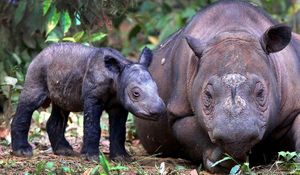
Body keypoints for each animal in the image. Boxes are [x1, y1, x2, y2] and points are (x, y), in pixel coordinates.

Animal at [11, 43, 165, 161]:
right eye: (136, 94)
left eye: (157, 88)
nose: (159, 110)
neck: (117, 76)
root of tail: (40, 52)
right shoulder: (93, 97)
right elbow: (93, 126)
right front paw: (91, 157)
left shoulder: (119, 104)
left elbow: (119, 130)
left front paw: (122, 158)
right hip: (38, 68)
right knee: (30, 102)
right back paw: (23, 152)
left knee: (62, 107)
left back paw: (64, 151)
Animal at [135, 0, 300, 172]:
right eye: (207, 95)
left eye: (261, 93)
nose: (237, 137)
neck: (234, 29)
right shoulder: (177, 112)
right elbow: (191, 131)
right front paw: (223, 162)